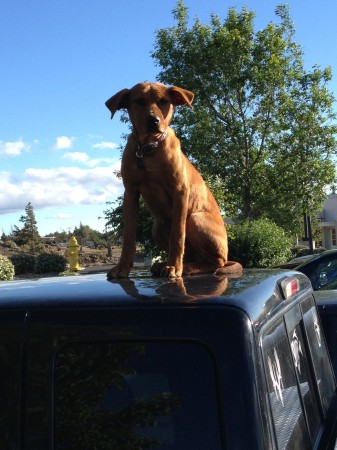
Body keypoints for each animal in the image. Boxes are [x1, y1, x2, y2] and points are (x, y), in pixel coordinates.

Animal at [105, 81, 242, 278]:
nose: (153, 120)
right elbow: (128, 236)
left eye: (163, 101)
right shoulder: (130, 192)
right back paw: (166, 264)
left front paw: (174, 268)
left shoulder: (180, 191)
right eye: (139, 101)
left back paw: (185, 268)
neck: (149, 149)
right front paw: (122, 268)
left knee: (216, 262)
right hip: (157, 229)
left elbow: (177, 236)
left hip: (195, 218)